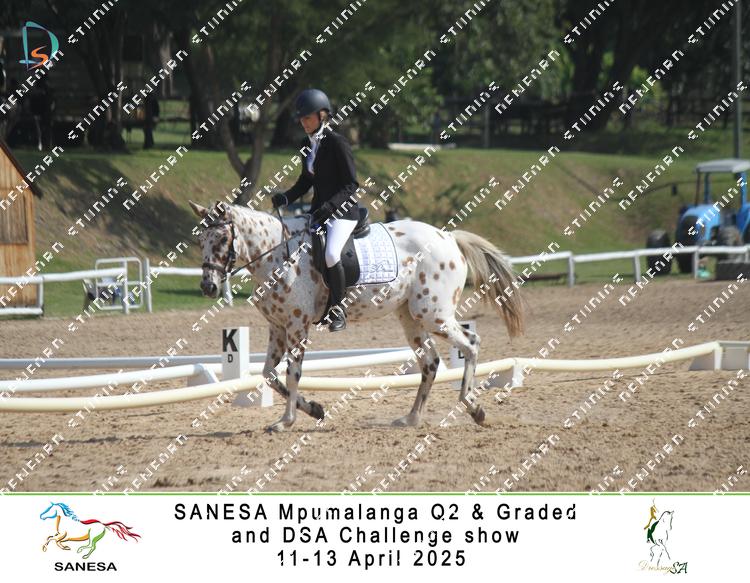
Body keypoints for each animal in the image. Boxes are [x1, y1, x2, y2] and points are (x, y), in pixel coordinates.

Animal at [189, 200, 525, 433]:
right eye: (200, 241)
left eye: (222, 239)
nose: (208, 286)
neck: (275, 254)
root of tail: (449, 237)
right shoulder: (278, 327)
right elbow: (268, 374)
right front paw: (315, 409)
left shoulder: (297, 326)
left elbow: (292, 373)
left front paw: (286, 421)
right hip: (411, 317)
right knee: (430, 362)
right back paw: (411, 418)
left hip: (434, 314)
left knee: (470, 342)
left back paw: (473, 408)